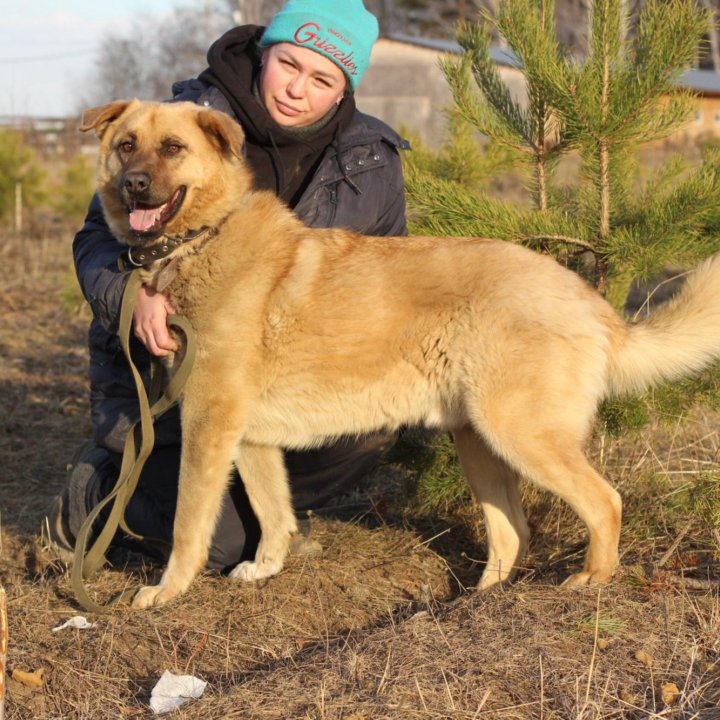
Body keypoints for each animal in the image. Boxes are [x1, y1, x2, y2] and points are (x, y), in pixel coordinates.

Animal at [81, 100, 720, 608]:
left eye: (172, 147)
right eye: (126, 145)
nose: (134, 184)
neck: (203, 238)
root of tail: (589, 300)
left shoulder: (208, 423)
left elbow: (189, 522)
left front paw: (167, 591)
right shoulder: (250, 437)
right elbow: (273, 512)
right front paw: (265, 570)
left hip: (519, 432)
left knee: (603, 501)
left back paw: (593, 579)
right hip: (478, 440)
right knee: (511, 531)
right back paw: (477, 603)